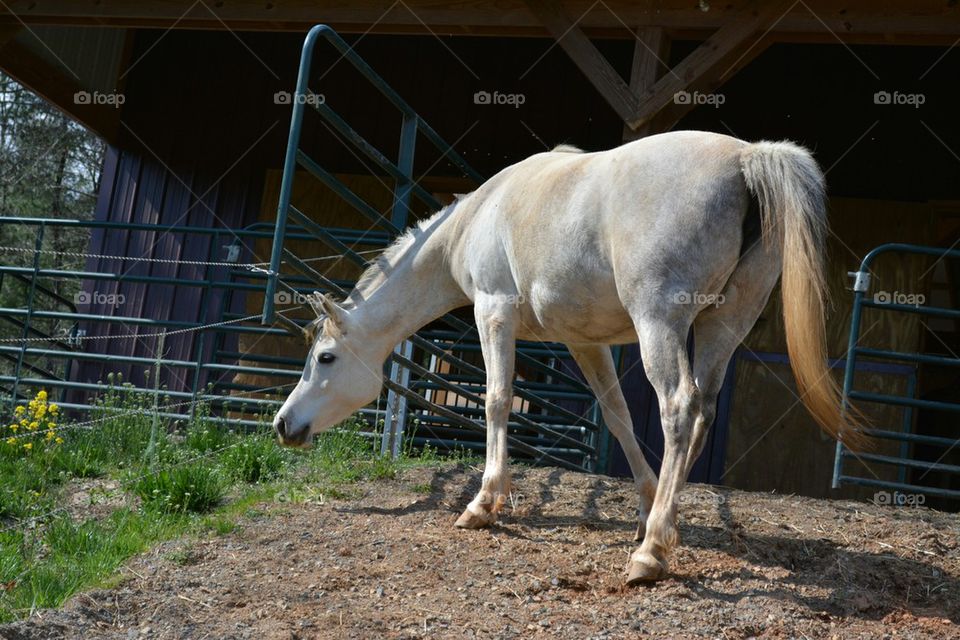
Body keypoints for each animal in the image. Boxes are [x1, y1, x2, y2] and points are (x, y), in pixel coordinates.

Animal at [273, 130, 861, 584]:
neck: (478, 216)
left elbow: (497, 401)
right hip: (723, 326)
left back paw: (651, 554)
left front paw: (483, 504)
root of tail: (746, 157)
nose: (282, 425)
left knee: (680, 409)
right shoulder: (585, 342)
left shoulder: (494, 314)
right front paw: (646, 502)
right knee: (702, 414)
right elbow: (618, 417)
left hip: (660, 324)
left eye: (326, 358)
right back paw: (661, 526)